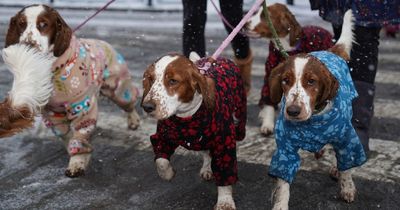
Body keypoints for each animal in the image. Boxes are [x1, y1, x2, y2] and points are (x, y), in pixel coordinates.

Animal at [141, 52, 247, 210]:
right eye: (151, 79)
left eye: (173, 81)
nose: (147, 107)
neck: (187, 117)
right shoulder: (162, 137)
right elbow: (161, 161)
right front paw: (169, 174)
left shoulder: (223, 144)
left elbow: (225, 174)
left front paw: (225, 202)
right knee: (207, 154)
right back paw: (207, 169)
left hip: (239, 120)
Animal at [247, 2, 334, 135]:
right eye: (256, 12)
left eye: (265, 16)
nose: (244, 25)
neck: (285, 48)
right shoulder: (271, 75)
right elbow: (268, 101)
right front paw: (267, 124)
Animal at [266, 10, 366, 209]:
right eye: (285, 80)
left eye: (311, 81)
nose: (293, 111)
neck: (313, 120)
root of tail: (330, 51)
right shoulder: (285, 149)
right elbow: (283, 184)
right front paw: (280, 205)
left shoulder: (346, 138)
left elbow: (348, 166)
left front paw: (347, 188)